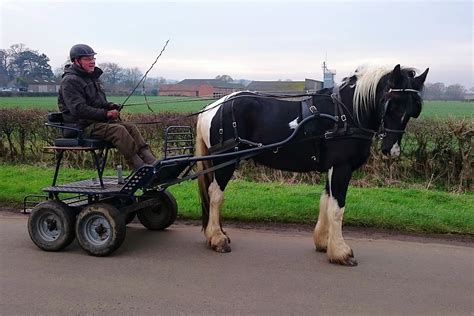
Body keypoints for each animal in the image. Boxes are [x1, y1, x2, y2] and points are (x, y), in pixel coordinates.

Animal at [194, 65, 428, 266]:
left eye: (414, 109)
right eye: (392, 104)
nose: (392, 150)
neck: (345, 114)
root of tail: (213, 107)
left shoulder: (332, 167)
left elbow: (326, 201)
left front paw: (324, 243)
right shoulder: (341, 167)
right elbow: (337, 208)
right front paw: (341, 252)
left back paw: (220, 234)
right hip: (224, 161)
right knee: (216, 194)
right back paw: (217, 238)